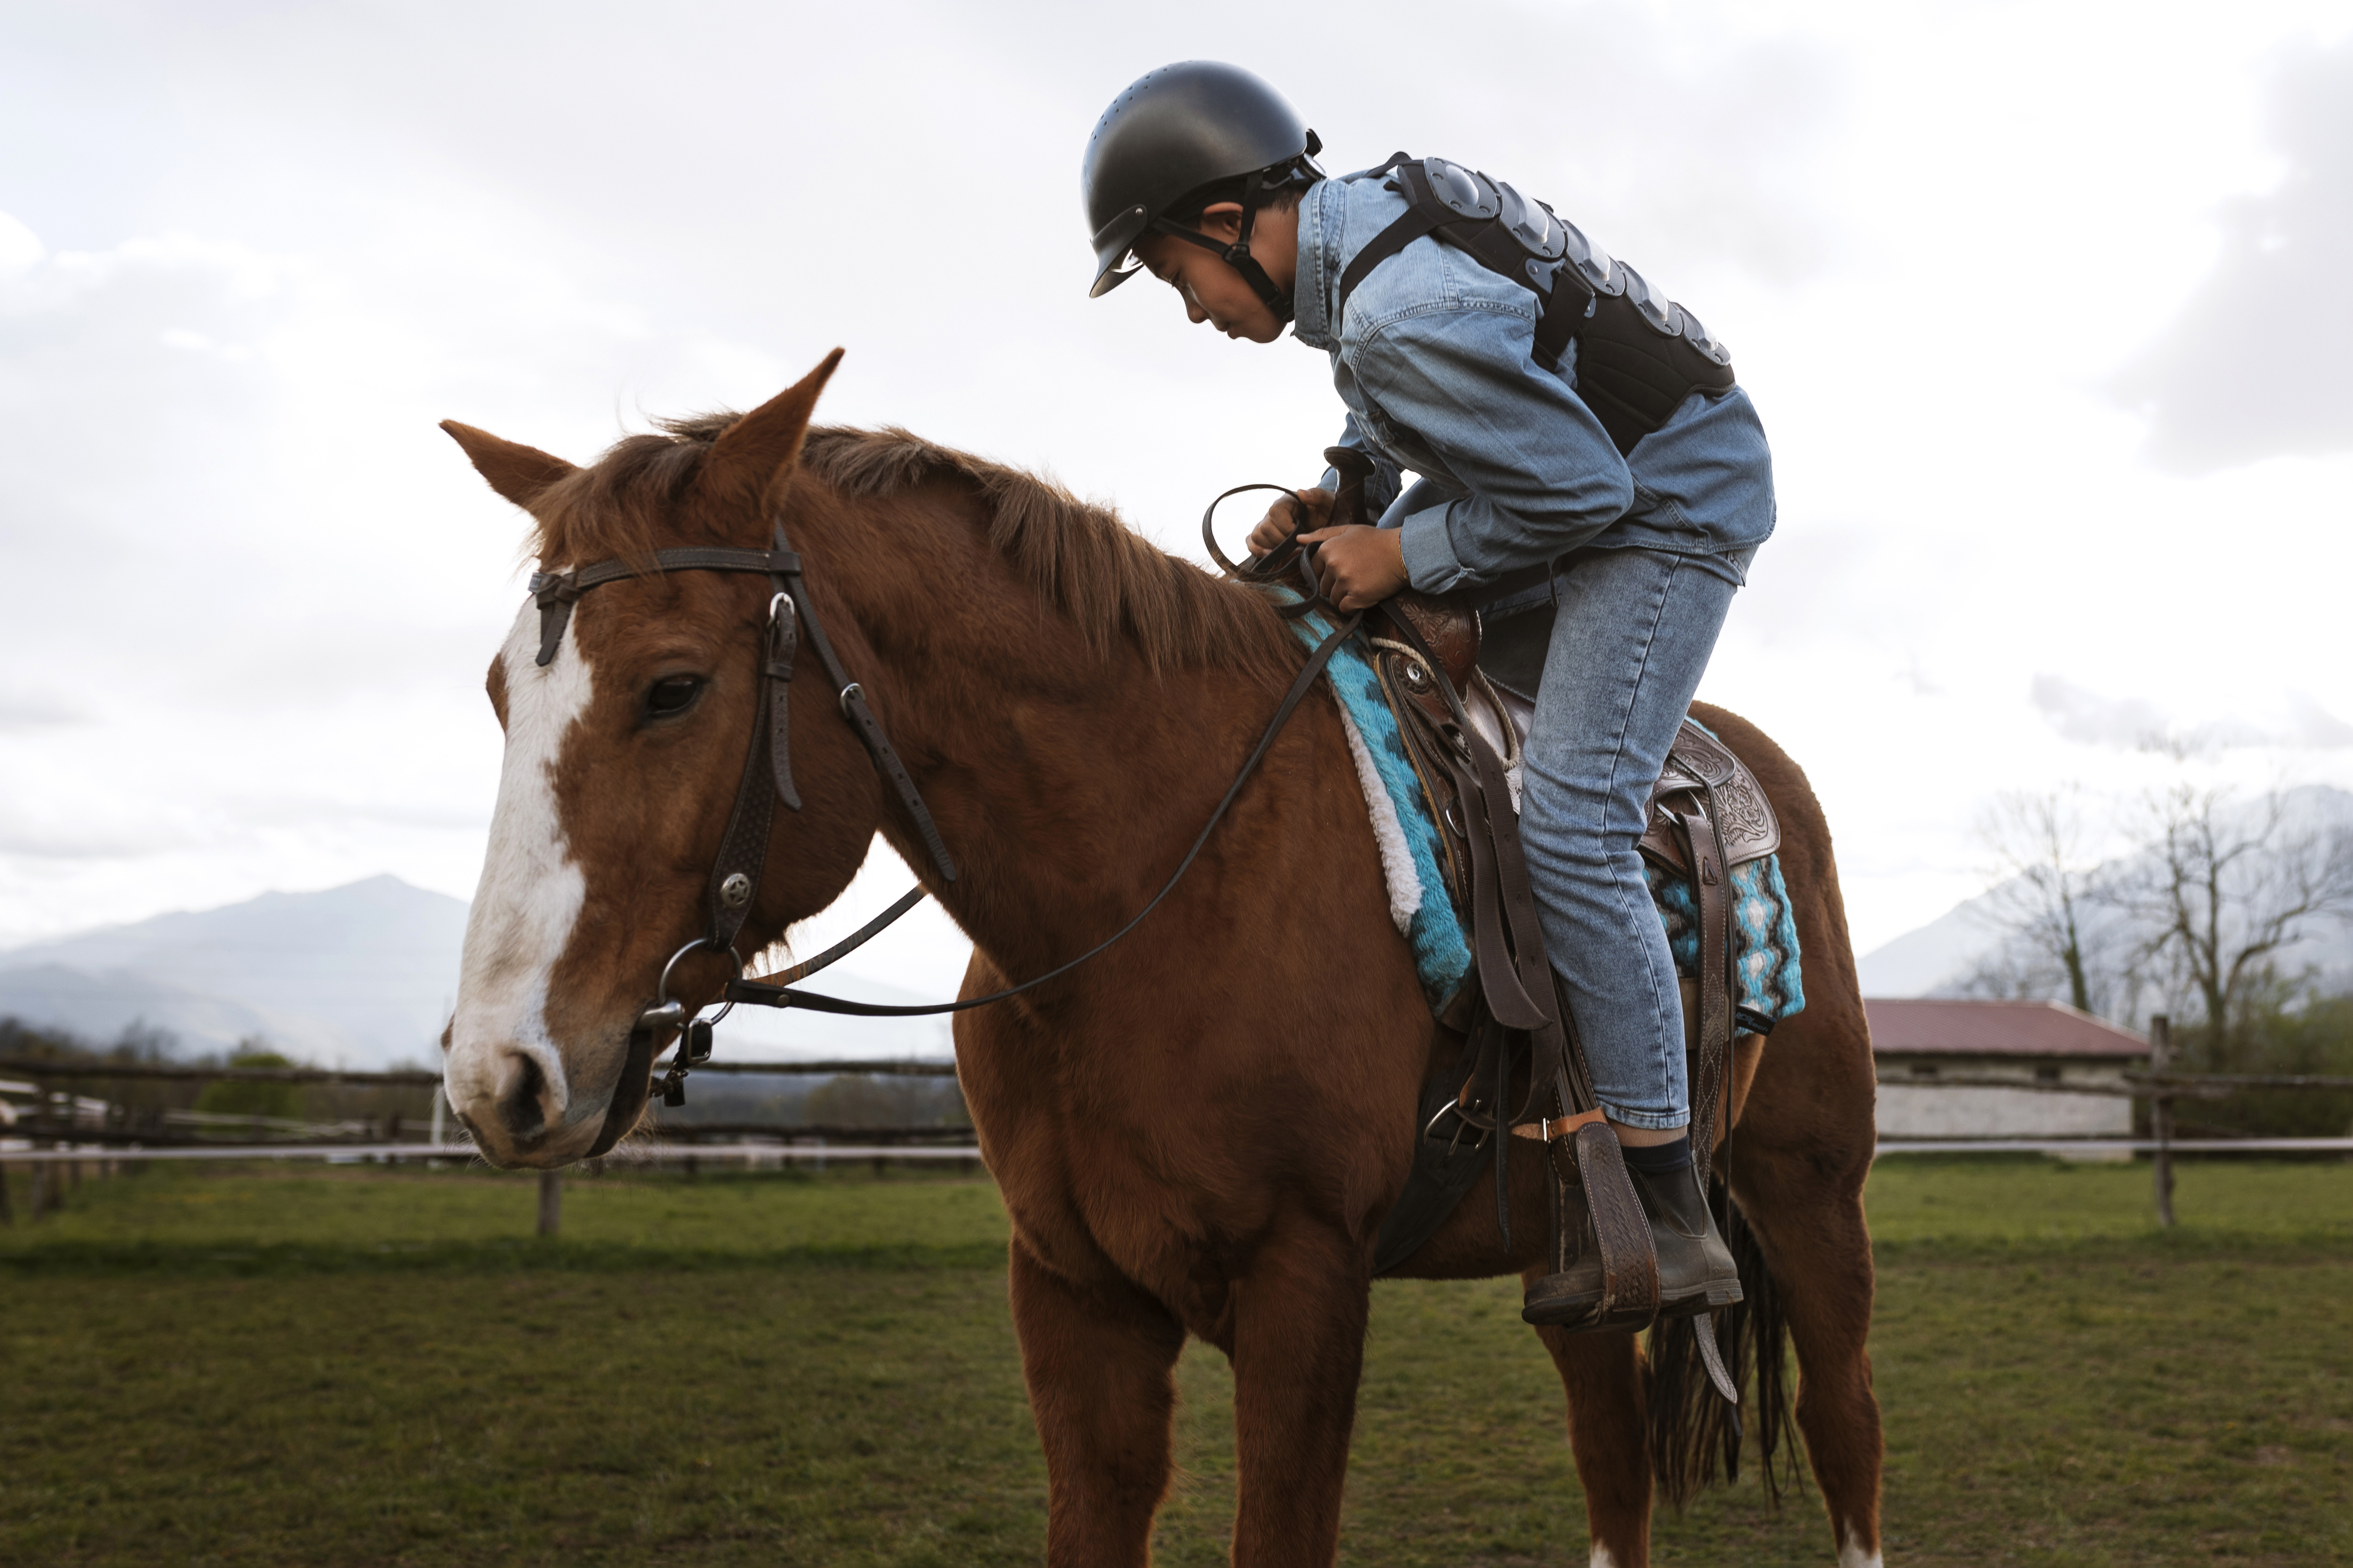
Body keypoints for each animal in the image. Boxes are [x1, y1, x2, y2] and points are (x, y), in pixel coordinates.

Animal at [437, 352, 1886, 1568]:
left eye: (674, 686)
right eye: (504, 696)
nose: (498, 1075)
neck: (1150, 889)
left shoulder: (1303, 1288)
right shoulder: (1072, 1293)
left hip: (1808, 1198)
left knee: (1846, 1435)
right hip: (1576, 1264)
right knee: (1612, 1458)